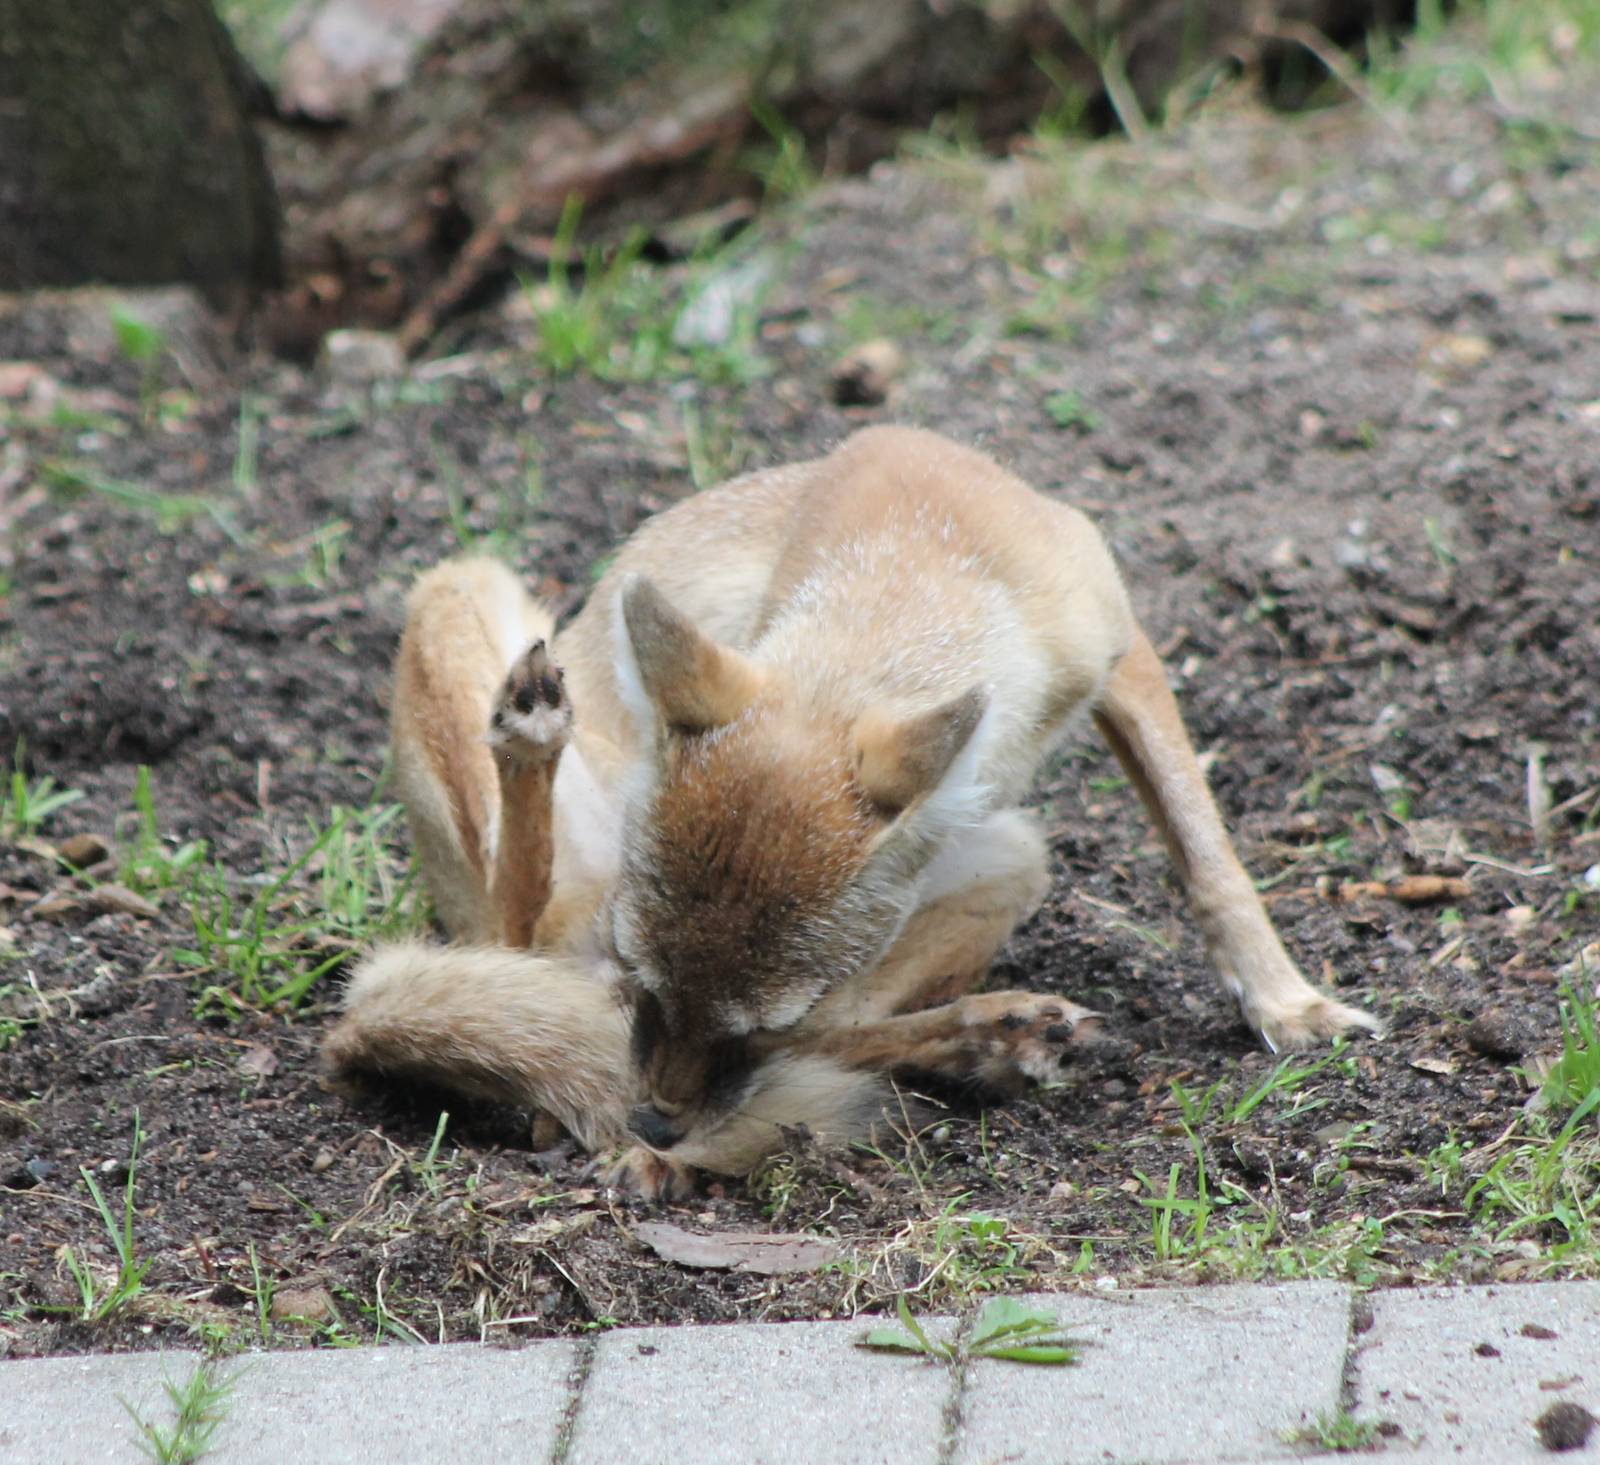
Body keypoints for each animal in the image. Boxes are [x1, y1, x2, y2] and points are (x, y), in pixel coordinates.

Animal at [322, 425, 1378, 1197]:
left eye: (753, 1026)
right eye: (640, 983)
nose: (653, 1118)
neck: (929, 546)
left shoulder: (1124, 657)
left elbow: (1209, 856)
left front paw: (1285, 1000)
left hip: (1012, 856)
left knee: (849, 1031)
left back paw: (987, 1039)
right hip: (459, 593)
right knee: (512, 917)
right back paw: (530, 734)